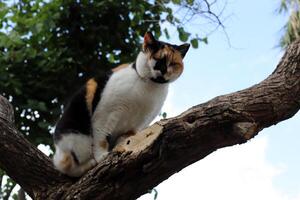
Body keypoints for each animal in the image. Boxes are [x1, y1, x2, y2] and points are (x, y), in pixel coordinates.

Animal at [52, 31, 189, 177]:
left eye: (173, 64)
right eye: (158, 59)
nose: (163, 70)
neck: (150, 86)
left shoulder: (136, 125)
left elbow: (125, 139)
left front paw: (122, 149)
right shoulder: (104, 114)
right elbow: (101, 137)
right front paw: (102, 156)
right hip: (77, 136)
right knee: (65, 164)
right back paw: (90, 164)